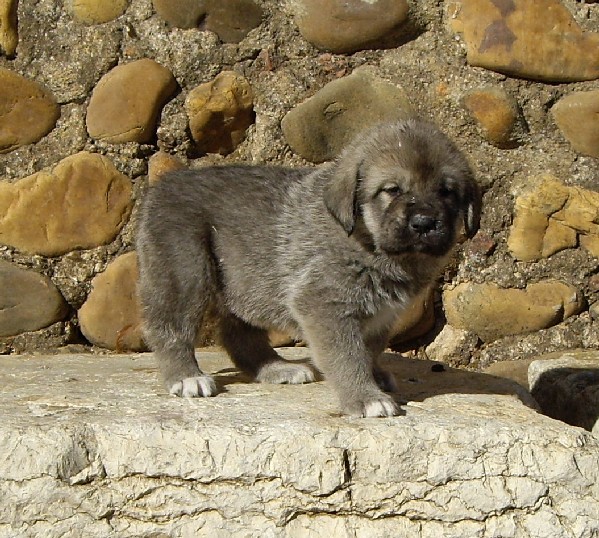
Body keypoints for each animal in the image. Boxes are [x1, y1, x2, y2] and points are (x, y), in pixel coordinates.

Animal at [137, 119, 482, 416]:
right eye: (392, 189)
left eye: (446, 191)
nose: (424, 223)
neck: (367, 241)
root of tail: (162, 186)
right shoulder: (323, 305)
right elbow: (347, 356)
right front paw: (365, 397)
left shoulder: (380, 316)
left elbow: (368, 349)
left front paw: (374, 378)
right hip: (185, 271)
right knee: (169, 328)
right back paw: (186, 376)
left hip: (242, 284)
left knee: (239, 334)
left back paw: (276, 368)